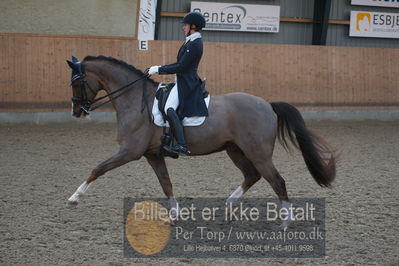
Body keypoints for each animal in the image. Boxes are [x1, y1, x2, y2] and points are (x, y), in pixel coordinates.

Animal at [67, 54, 336, 229]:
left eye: (77, 82)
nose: (77, 111)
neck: (135, 100)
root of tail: (268, 105)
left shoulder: (130, 151)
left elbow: (98, 169)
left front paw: (74, 198)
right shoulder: (152, 154)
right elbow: (166, 183)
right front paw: (175, 215)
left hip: (258, 153)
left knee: (277, 181)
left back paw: (285, 223)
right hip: (235, 150)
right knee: (252, 175)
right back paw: (228, 207)